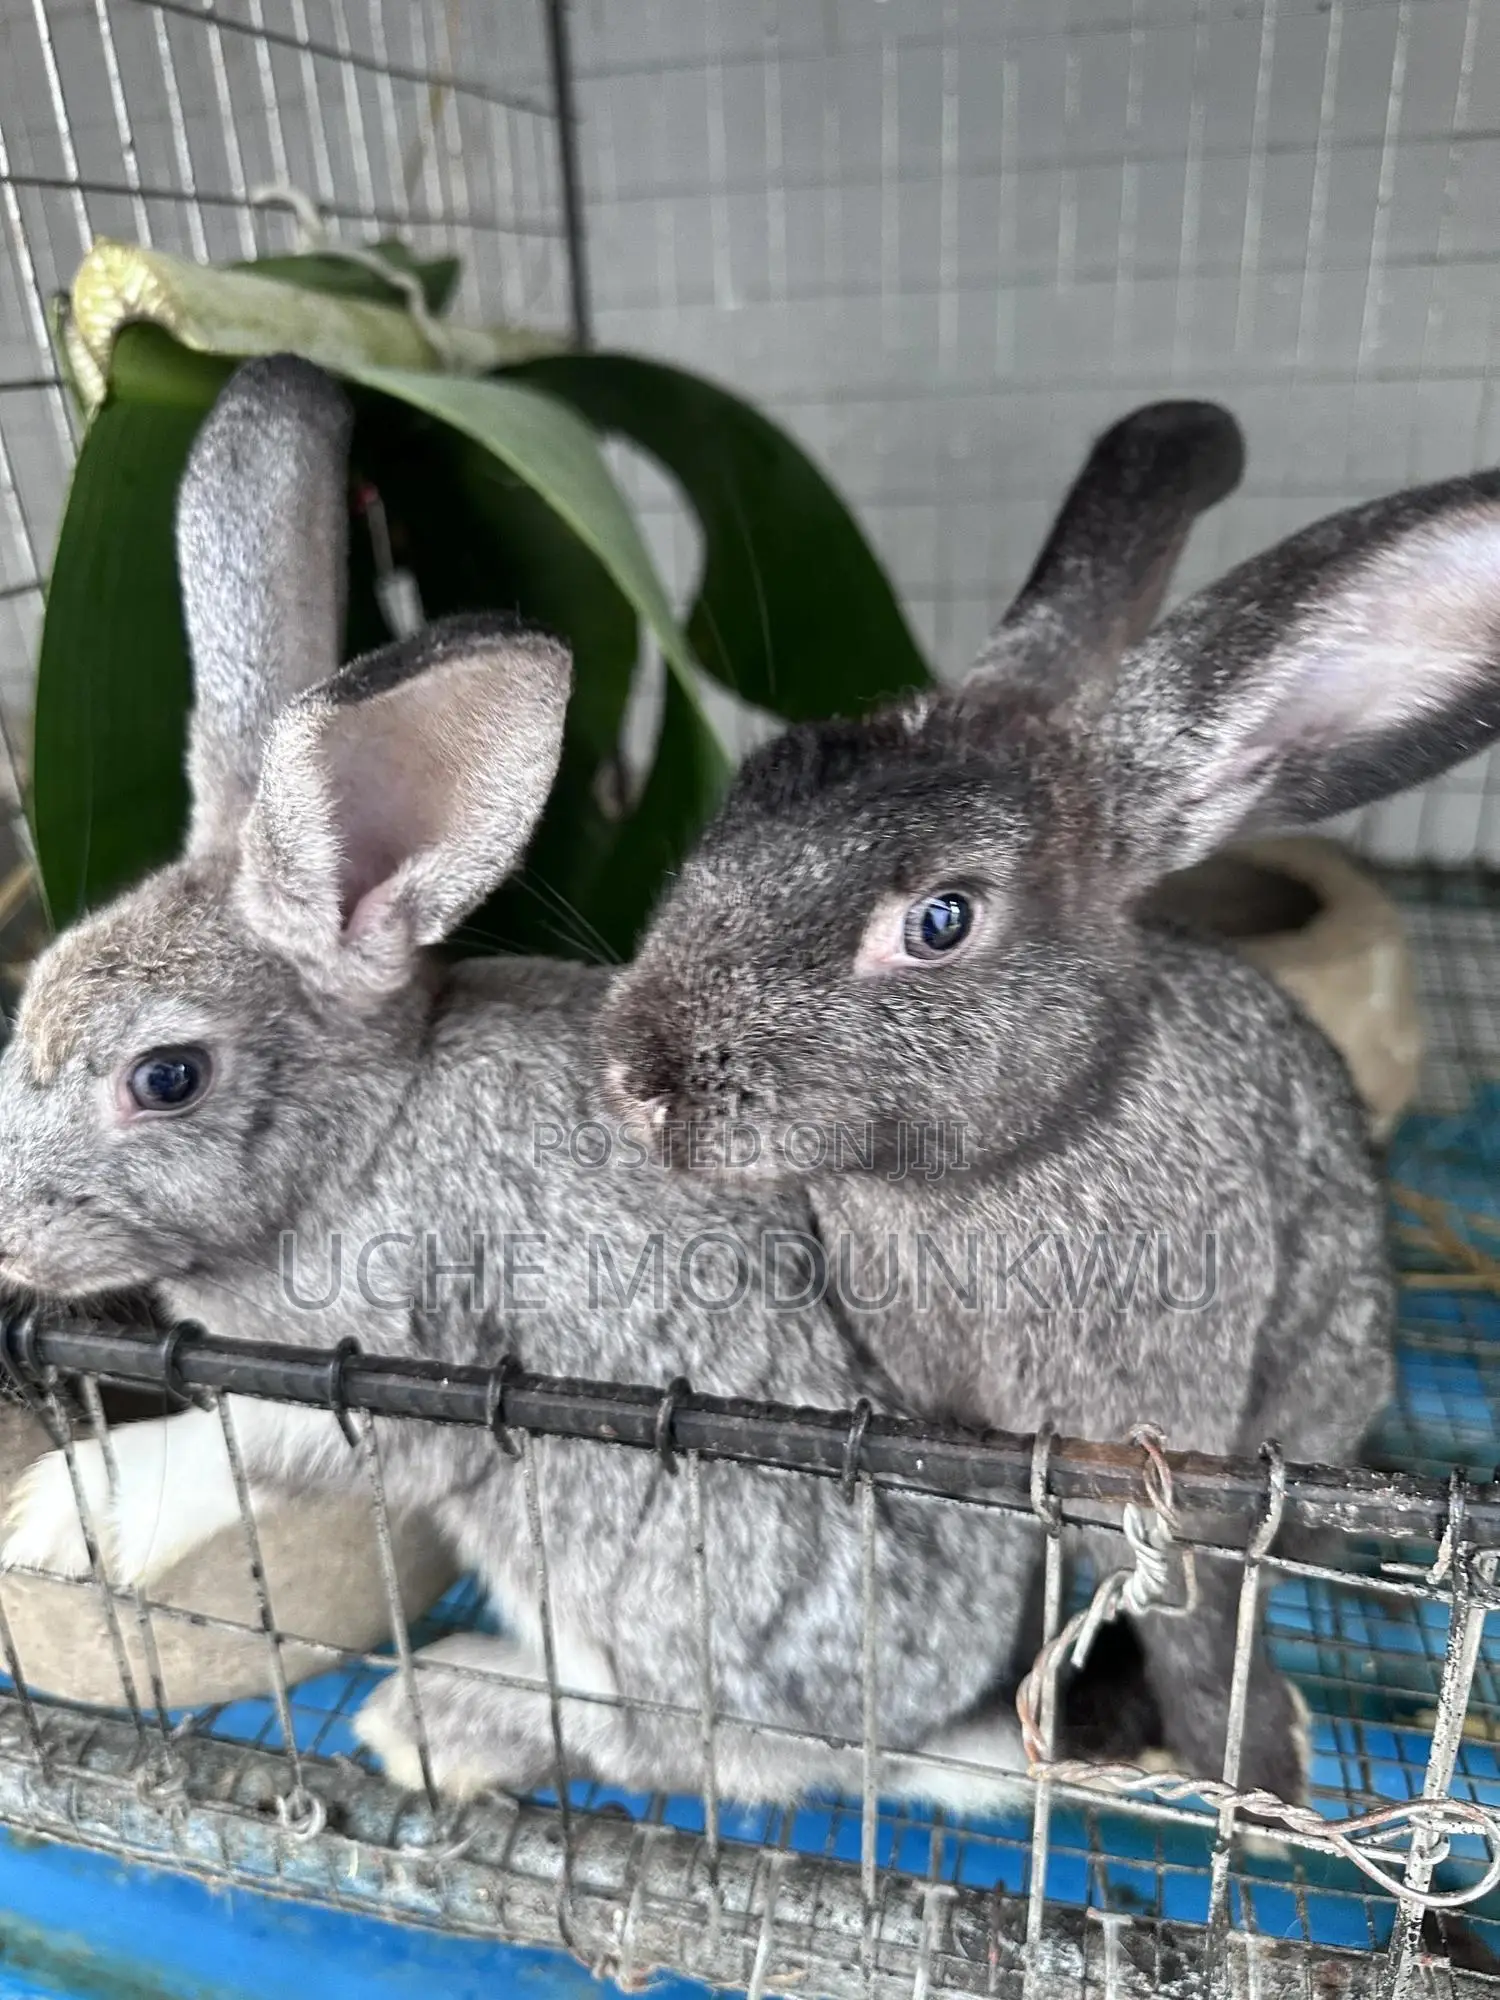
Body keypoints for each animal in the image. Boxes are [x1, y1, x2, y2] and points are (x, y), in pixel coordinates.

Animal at [0, 353, 1069, 1810]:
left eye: (165, 1076)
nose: (2, 1236)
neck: (365, 1140)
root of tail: (893, 1738)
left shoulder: (391, 1364)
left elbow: (235, 1444)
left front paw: (66, 1508)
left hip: (599, 1538)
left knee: (664, 1742)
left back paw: (443, 1717)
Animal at [599, 399, 1500, 1805]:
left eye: (942, 920)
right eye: (736, 808)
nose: (635, 1076)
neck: (995, 1167)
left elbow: (1192, 1588)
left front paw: (1253, 1760)